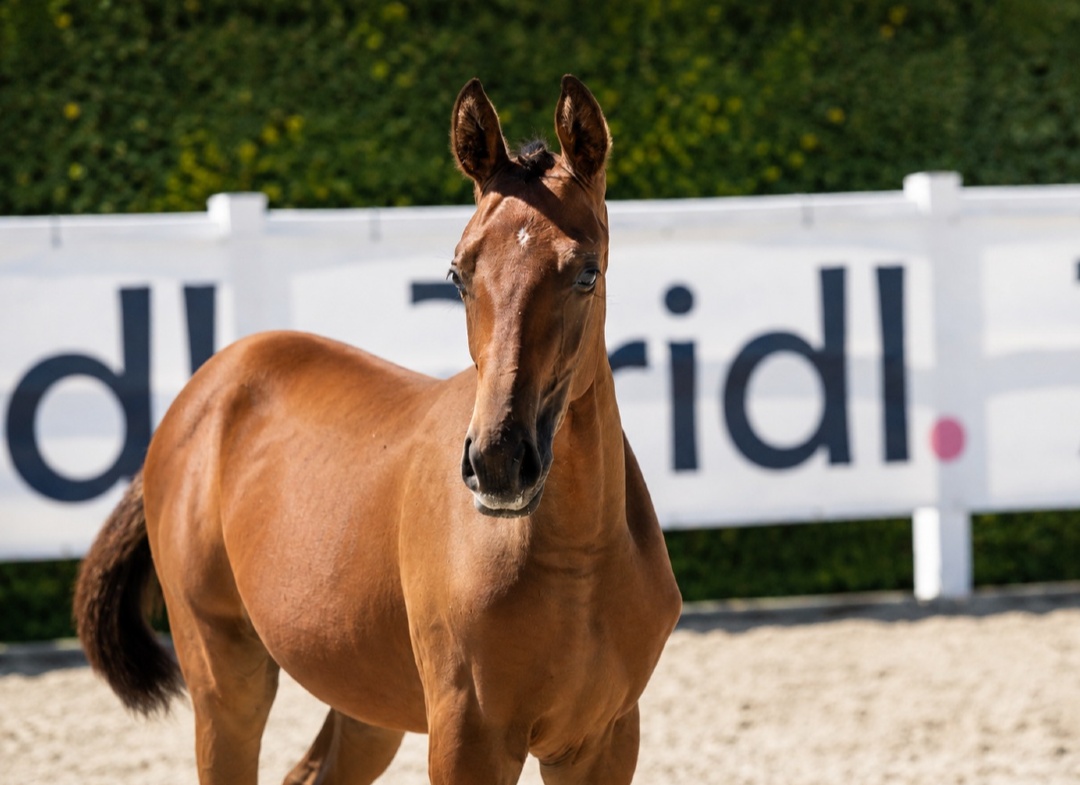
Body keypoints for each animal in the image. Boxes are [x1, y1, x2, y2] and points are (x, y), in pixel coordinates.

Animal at [74, 75, 682, 785]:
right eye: (457, 274)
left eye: (588, 271)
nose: (500, 461)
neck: (575, 559)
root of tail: (199, 392)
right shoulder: (468, 740)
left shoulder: (602, 740)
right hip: (226, 682)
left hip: (366, 699)